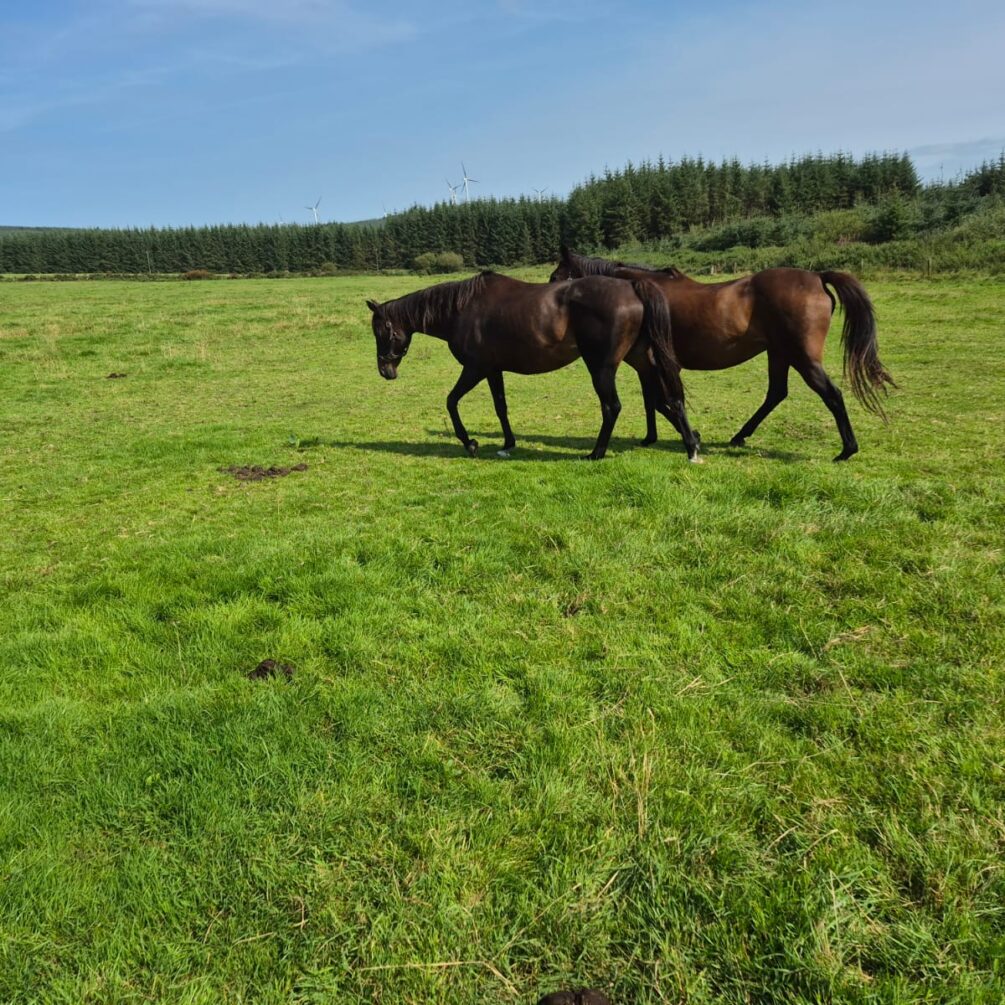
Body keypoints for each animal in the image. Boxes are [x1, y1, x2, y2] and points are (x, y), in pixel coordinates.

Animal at [365, 270, 701, 462]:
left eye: (382, 331)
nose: (385, 371)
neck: (461, 310)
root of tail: (632, 286)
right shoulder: (493, 370)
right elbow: (501, 407)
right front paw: (507, 443)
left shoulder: (474, 369)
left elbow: (451, 401)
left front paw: (469, 443)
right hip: (642, 358)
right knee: (671, 398)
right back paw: (691, 445)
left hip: (601, 367)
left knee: (612, 407)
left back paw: (596, 453)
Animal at [549, 248, 895, 461]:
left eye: (555, 277)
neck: (638, 292)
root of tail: (817, 277)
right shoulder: (648, 362)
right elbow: (653, 401)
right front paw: (653, 437)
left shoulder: (656, 363)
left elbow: (663, 401)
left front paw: (691, 436)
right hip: (779, 353)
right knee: (776, 393)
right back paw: (740, 435)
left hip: (802, 357)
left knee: (831, 394)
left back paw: (847, 450)